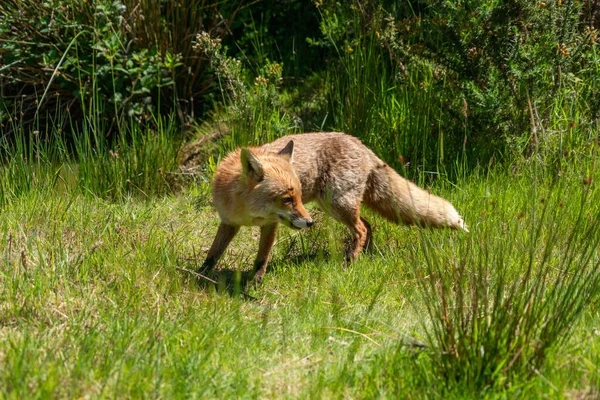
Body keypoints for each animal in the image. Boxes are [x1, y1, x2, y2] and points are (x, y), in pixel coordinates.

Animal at [202, 131, 468, 282]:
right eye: (287, 199)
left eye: (299, 196)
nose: (310, 223)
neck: (246, 211)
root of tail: (362, 145)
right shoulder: (229, 222)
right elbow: (213, 253)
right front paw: (201, 275)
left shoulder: (270, 225)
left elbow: (262, 257)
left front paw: (255, 281)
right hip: (338, 205)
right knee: (368, 226)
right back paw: (364, 255)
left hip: (338, 204)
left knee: (361, 228)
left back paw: (351, 261)